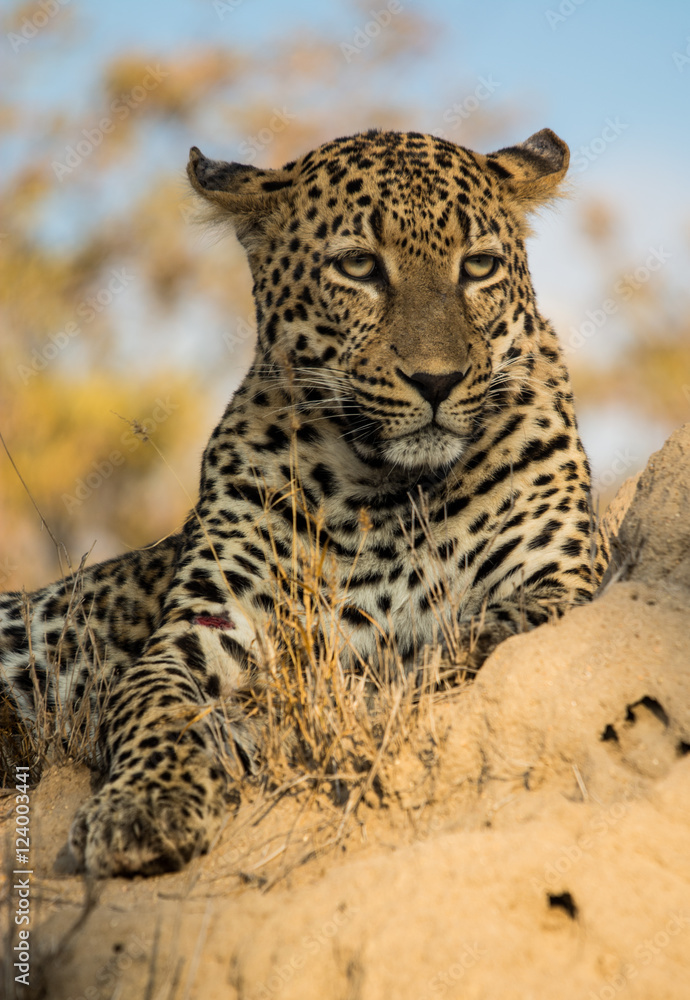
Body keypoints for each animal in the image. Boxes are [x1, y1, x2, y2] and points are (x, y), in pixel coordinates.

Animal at [0, 127, 608, 877]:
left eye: (479, 267)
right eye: (358, 266)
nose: (437, 380)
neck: (385, 492)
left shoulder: (562, 577)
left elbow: (495, 627)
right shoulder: (206, 629)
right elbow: (156, 704)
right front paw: (143, 808)